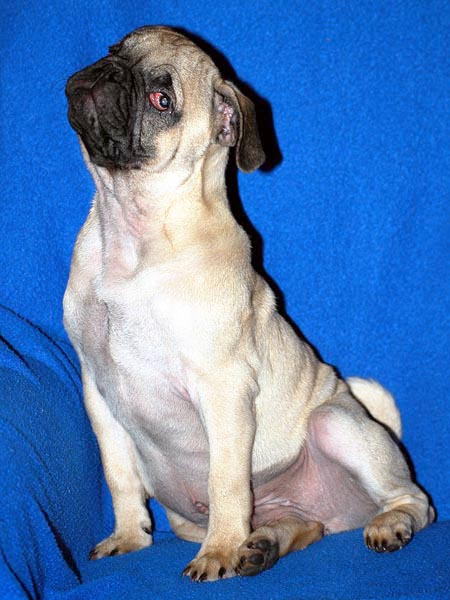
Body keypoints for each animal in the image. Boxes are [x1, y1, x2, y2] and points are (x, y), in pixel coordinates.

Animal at [64, 26, 434, 581]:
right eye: (114, 51)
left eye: (162, 99)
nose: (106, 71)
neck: (133, 227)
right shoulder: (97, 390)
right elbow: (119, 475)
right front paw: (130, 537)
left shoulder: (223, 389)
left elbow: (226, 482)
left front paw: (218, 551)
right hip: (208, 517)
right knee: (304, 525)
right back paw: (262, 546)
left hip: (337, 425)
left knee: (415, 500)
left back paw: (387, 525)